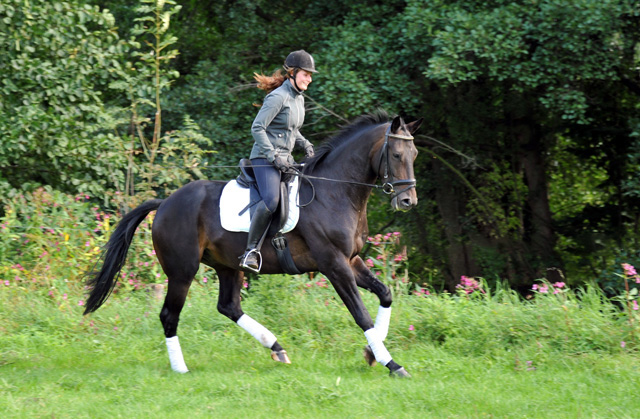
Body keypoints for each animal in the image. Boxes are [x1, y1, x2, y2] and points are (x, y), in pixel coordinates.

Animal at [82, 110, 422, 378]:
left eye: (414, 155)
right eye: (396, 155)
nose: (408, 201)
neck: (335, 192)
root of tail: (165, 202)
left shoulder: (351, 260)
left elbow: (385, 294)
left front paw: (371, 353)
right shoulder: (334, 264)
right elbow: (360, 313)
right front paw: (392, 364)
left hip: (227, 266)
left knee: (228, 306)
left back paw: (276, 347)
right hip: (182, 272)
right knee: (170, 315)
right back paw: (181, 369)